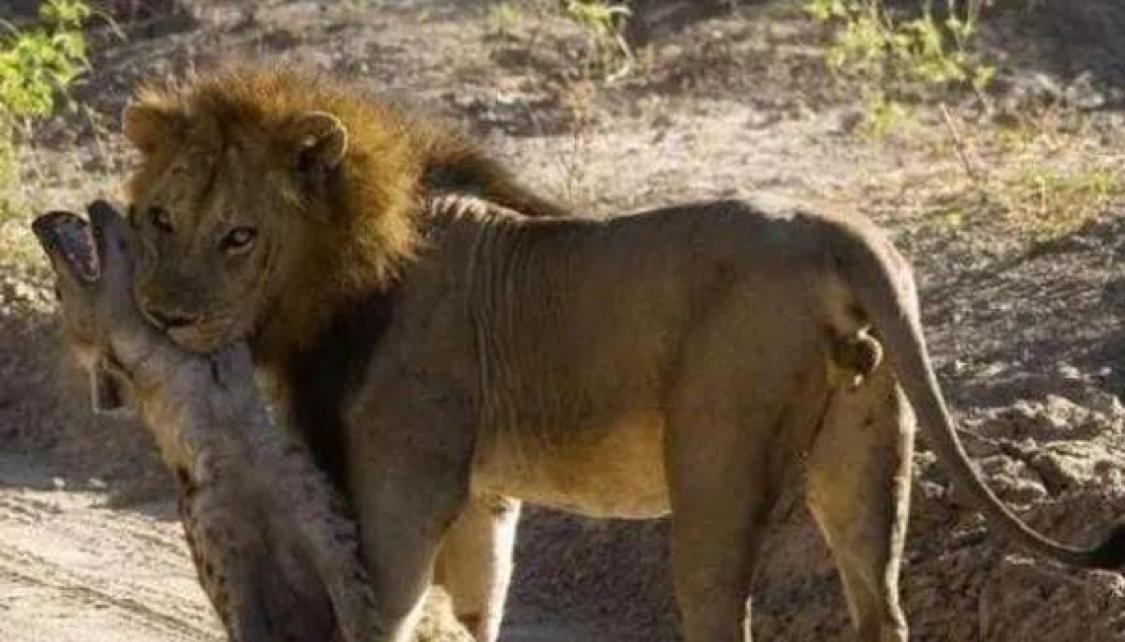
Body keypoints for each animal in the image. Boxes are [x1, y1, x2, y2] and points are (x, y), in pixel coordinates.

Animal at [34, 202, 471, 642]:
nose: (41, 223)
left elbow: (359, 613)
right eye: (57, 291)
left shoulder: (322, 525)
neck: (227, 428)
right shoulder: (224, 554)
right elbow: (244, 618)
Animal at [120, 67, 1125, 642]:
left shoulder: (407, 482)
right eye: (159, 218)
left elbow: (389, 614)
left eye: (239, 236)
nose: (163, 315)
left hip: (719, 459)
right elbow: (479, 607)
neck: (346, 263)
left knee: (721, 612)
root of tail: (843, 233)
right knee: (879, 610)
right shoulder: (483, 495)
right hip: (868, 452)